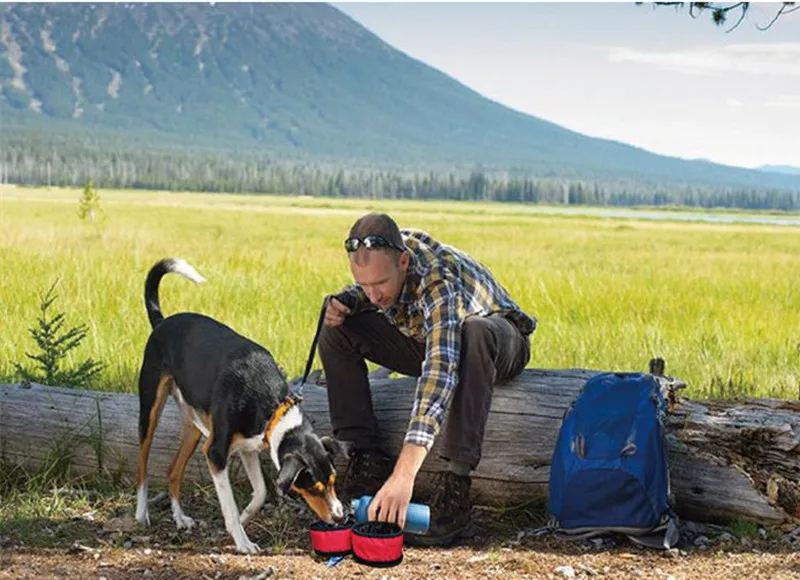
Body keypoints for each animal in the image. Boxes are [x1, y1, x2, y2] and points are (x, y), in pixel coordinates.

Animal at [135, 258, 346, 552]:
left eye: (333, 481)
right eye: (313, 488)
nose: (340, 517)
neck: (271, 406)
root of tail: (162, 322)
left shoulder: (248, 448)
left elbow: (260, 493)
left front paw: (246, 517)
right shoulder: (215, 453)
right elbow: (230, 506)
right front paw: (242, 540)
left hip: (193, 428)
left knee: (172, 471)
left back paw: (180, 517)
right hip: (151, 410)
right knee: (142, 466)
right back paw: (141, 512)